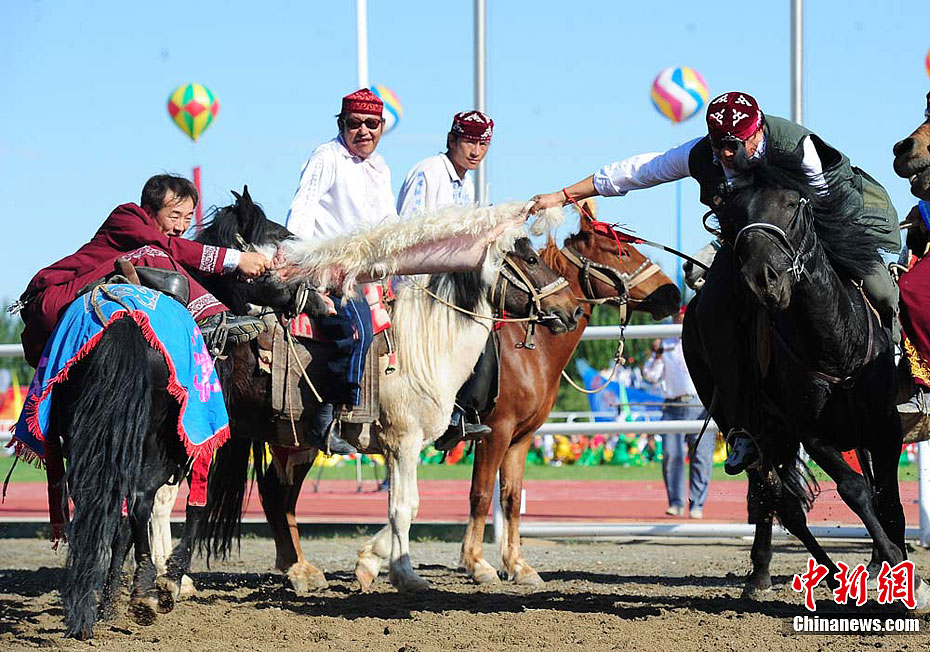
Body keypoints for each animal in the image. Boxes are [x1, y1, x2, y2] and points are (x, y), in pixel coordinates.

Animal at [185, 201, 580, 592]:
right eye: (531, 259)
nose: (572, 308)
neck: (424, 344)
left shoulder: (406, 447)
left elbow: (409, 507)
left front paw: (370, 562)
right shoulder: (407, 441)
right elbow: (405, 507)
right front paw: (406, 574)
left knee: (270, 493)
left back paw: (300, 570)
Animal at [458, 209, 680, 584]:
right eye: (621, 252)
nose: (675, 294)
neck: (528, 348)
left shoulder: (520, 438)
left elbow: (511, 497)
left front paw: (518, 565)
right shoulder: (495, 433)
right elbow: (481, 494)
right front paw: (477, 563)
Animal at [676, 160, 928, 608]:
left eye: (794, 204)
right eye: (735, 212)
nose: (764, 278)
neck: (835, 344)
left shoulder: (883, 431)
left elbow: (890, 502)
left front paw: (905, 578)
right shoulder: (811, 433)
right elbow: (855, 490)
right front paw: (896, 566)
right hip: (754, 431)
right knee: (778, 501)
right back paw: (788, 575)